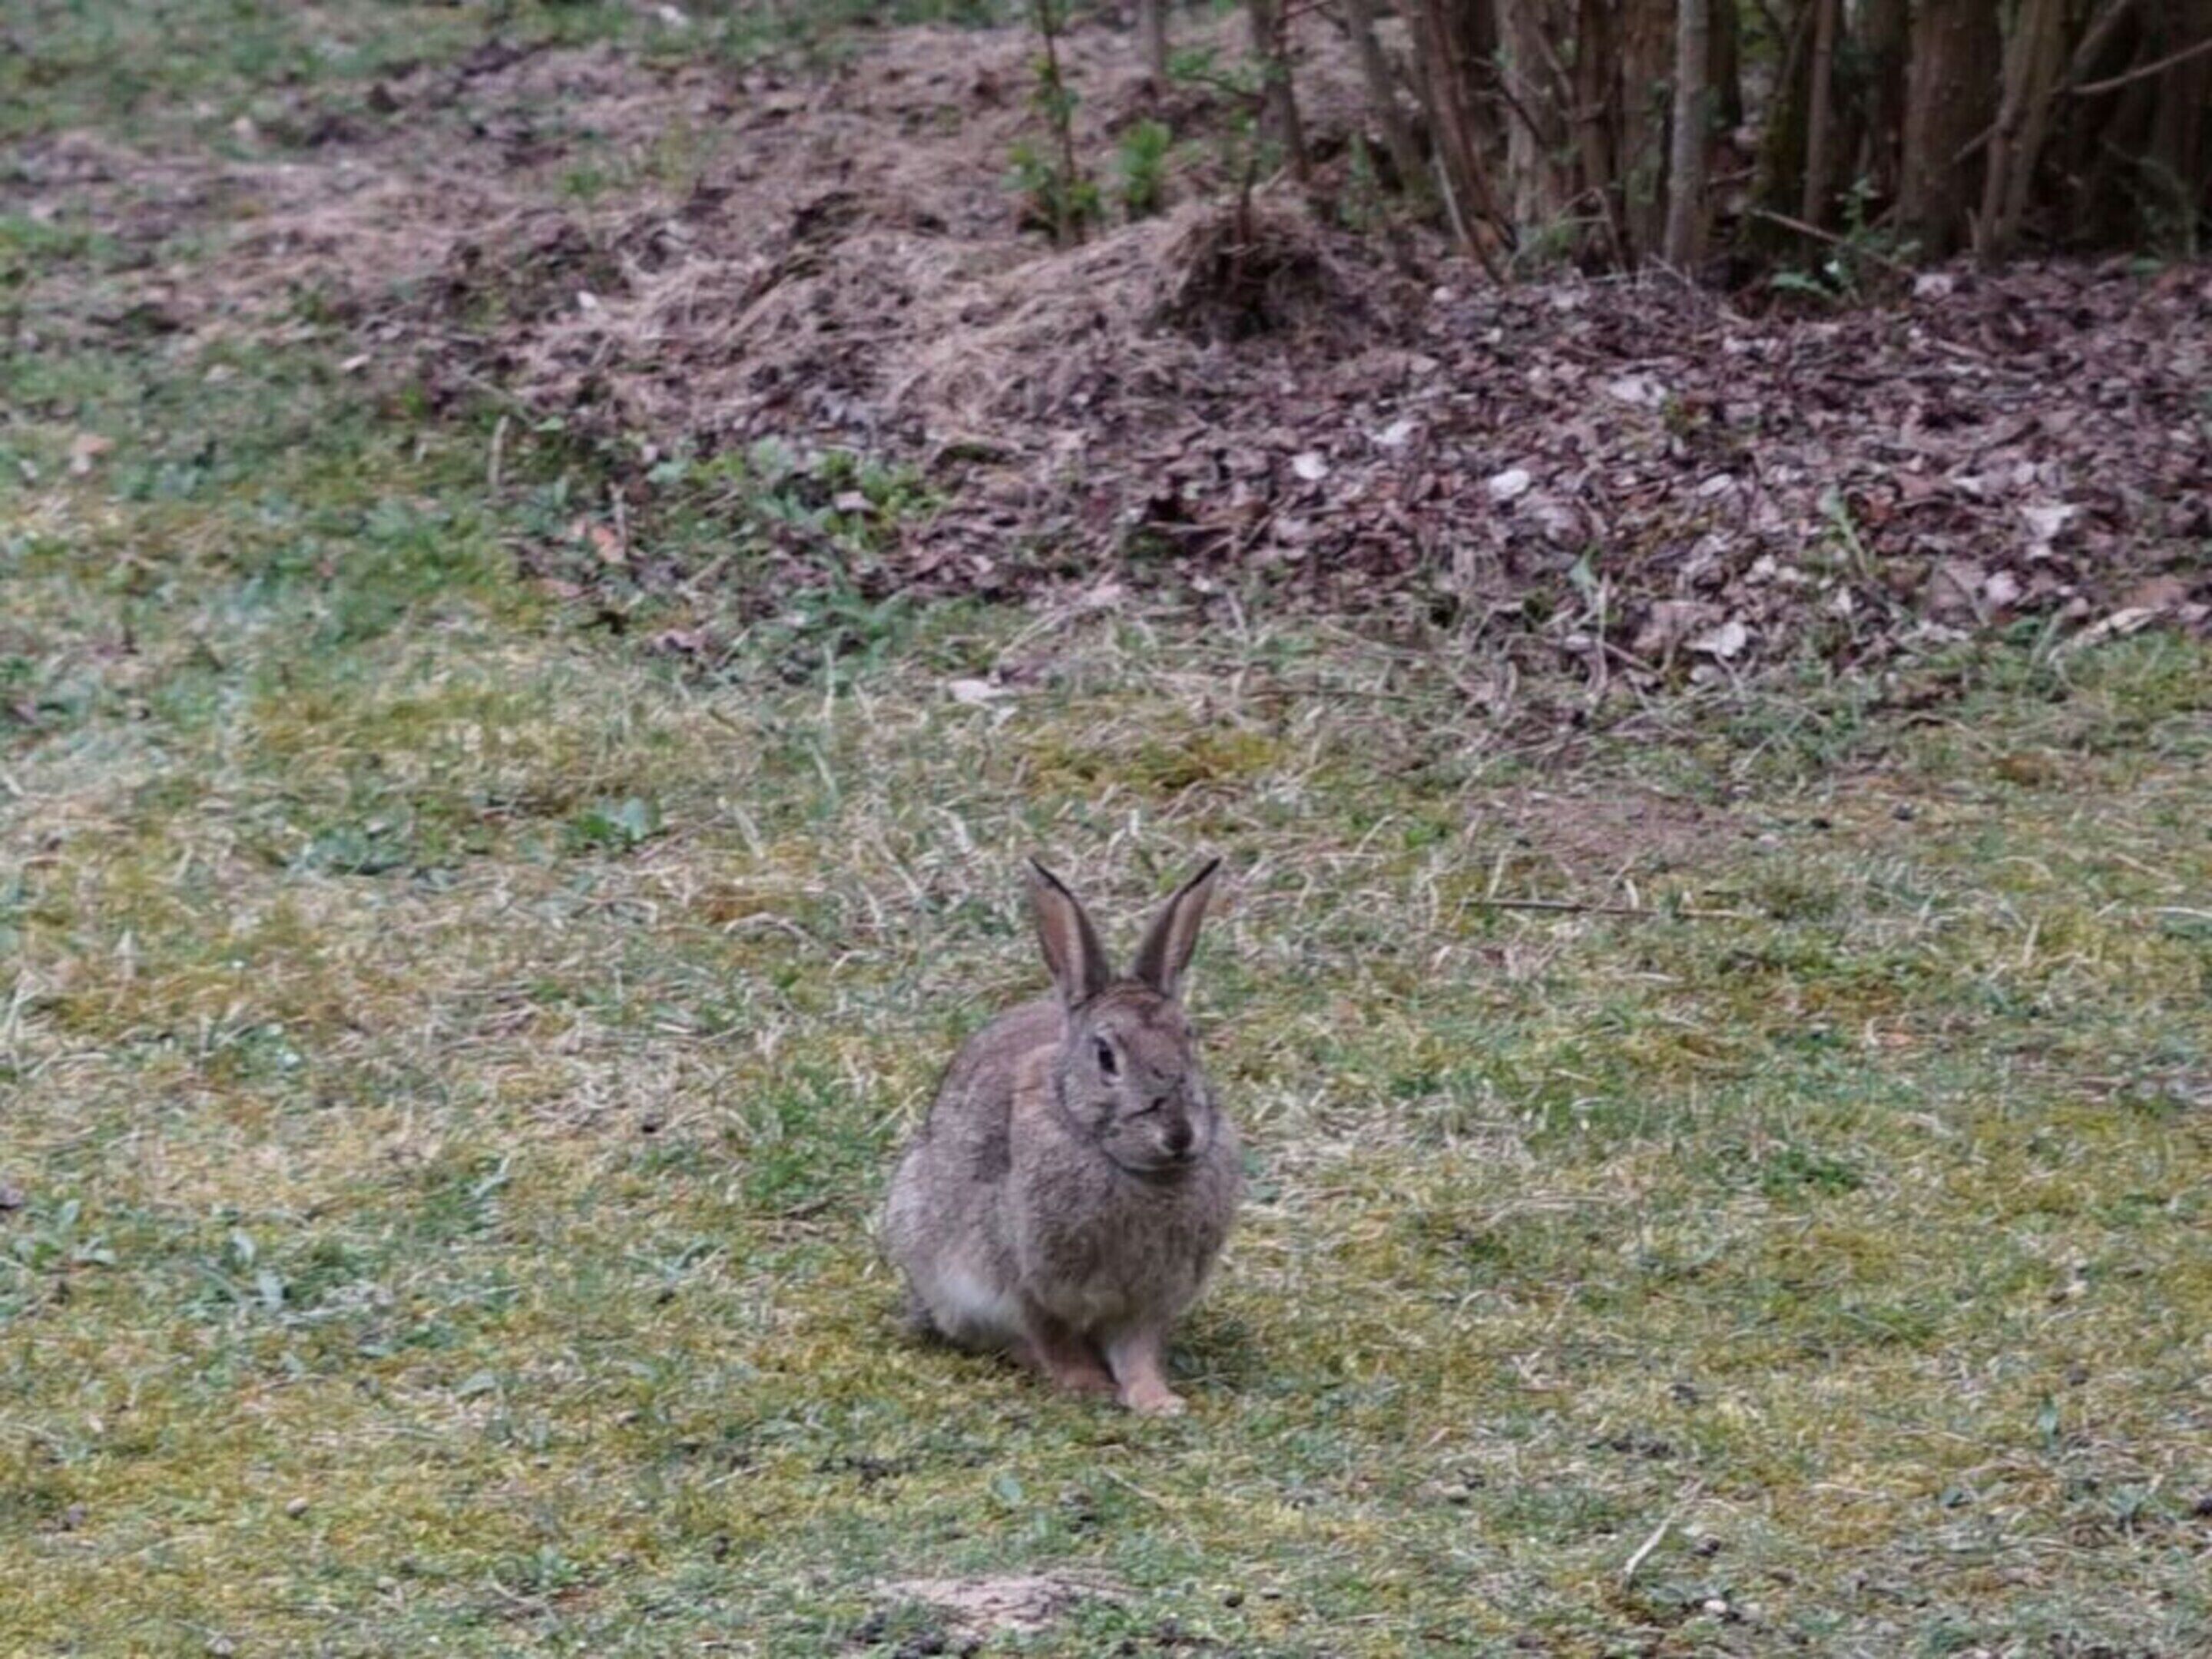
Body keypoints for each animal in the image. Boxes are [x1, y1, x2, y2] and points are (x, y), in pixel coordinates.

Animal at [882, 858, 1240, 1415]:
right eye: (1106, 1057)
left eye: (1190, 1039)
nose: (1179, 1134)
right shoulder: (1026, 1279)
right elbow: (1052, 1338)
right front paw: (1088, 1386)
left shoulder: (1149, 1297)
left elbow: (1138, 1351)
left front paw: (1157, 1401)